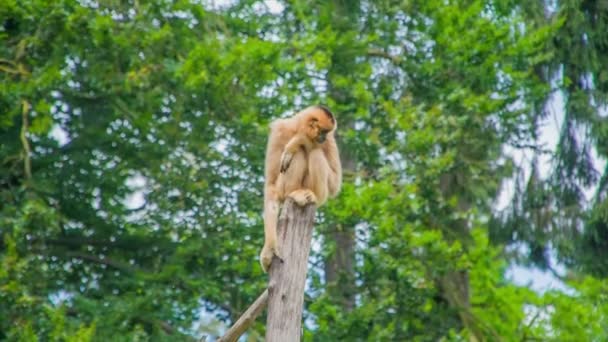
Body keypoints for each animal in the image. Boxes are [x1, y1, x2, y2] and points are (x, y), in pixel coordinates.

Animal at [258, 105, 342, 272]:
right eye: (323, 131)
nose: (323, 138)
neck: (296, 128)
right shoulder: (279, 131)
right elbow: (270, 184)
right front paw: (269, 249)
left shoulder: (330, 141)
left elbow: (335, 183)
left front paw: (299, 140)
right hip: (283, 189)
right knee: (298, 155)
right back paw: (295, 193)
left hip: (320, 193)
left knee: (315, 153)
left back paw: (311, 195)